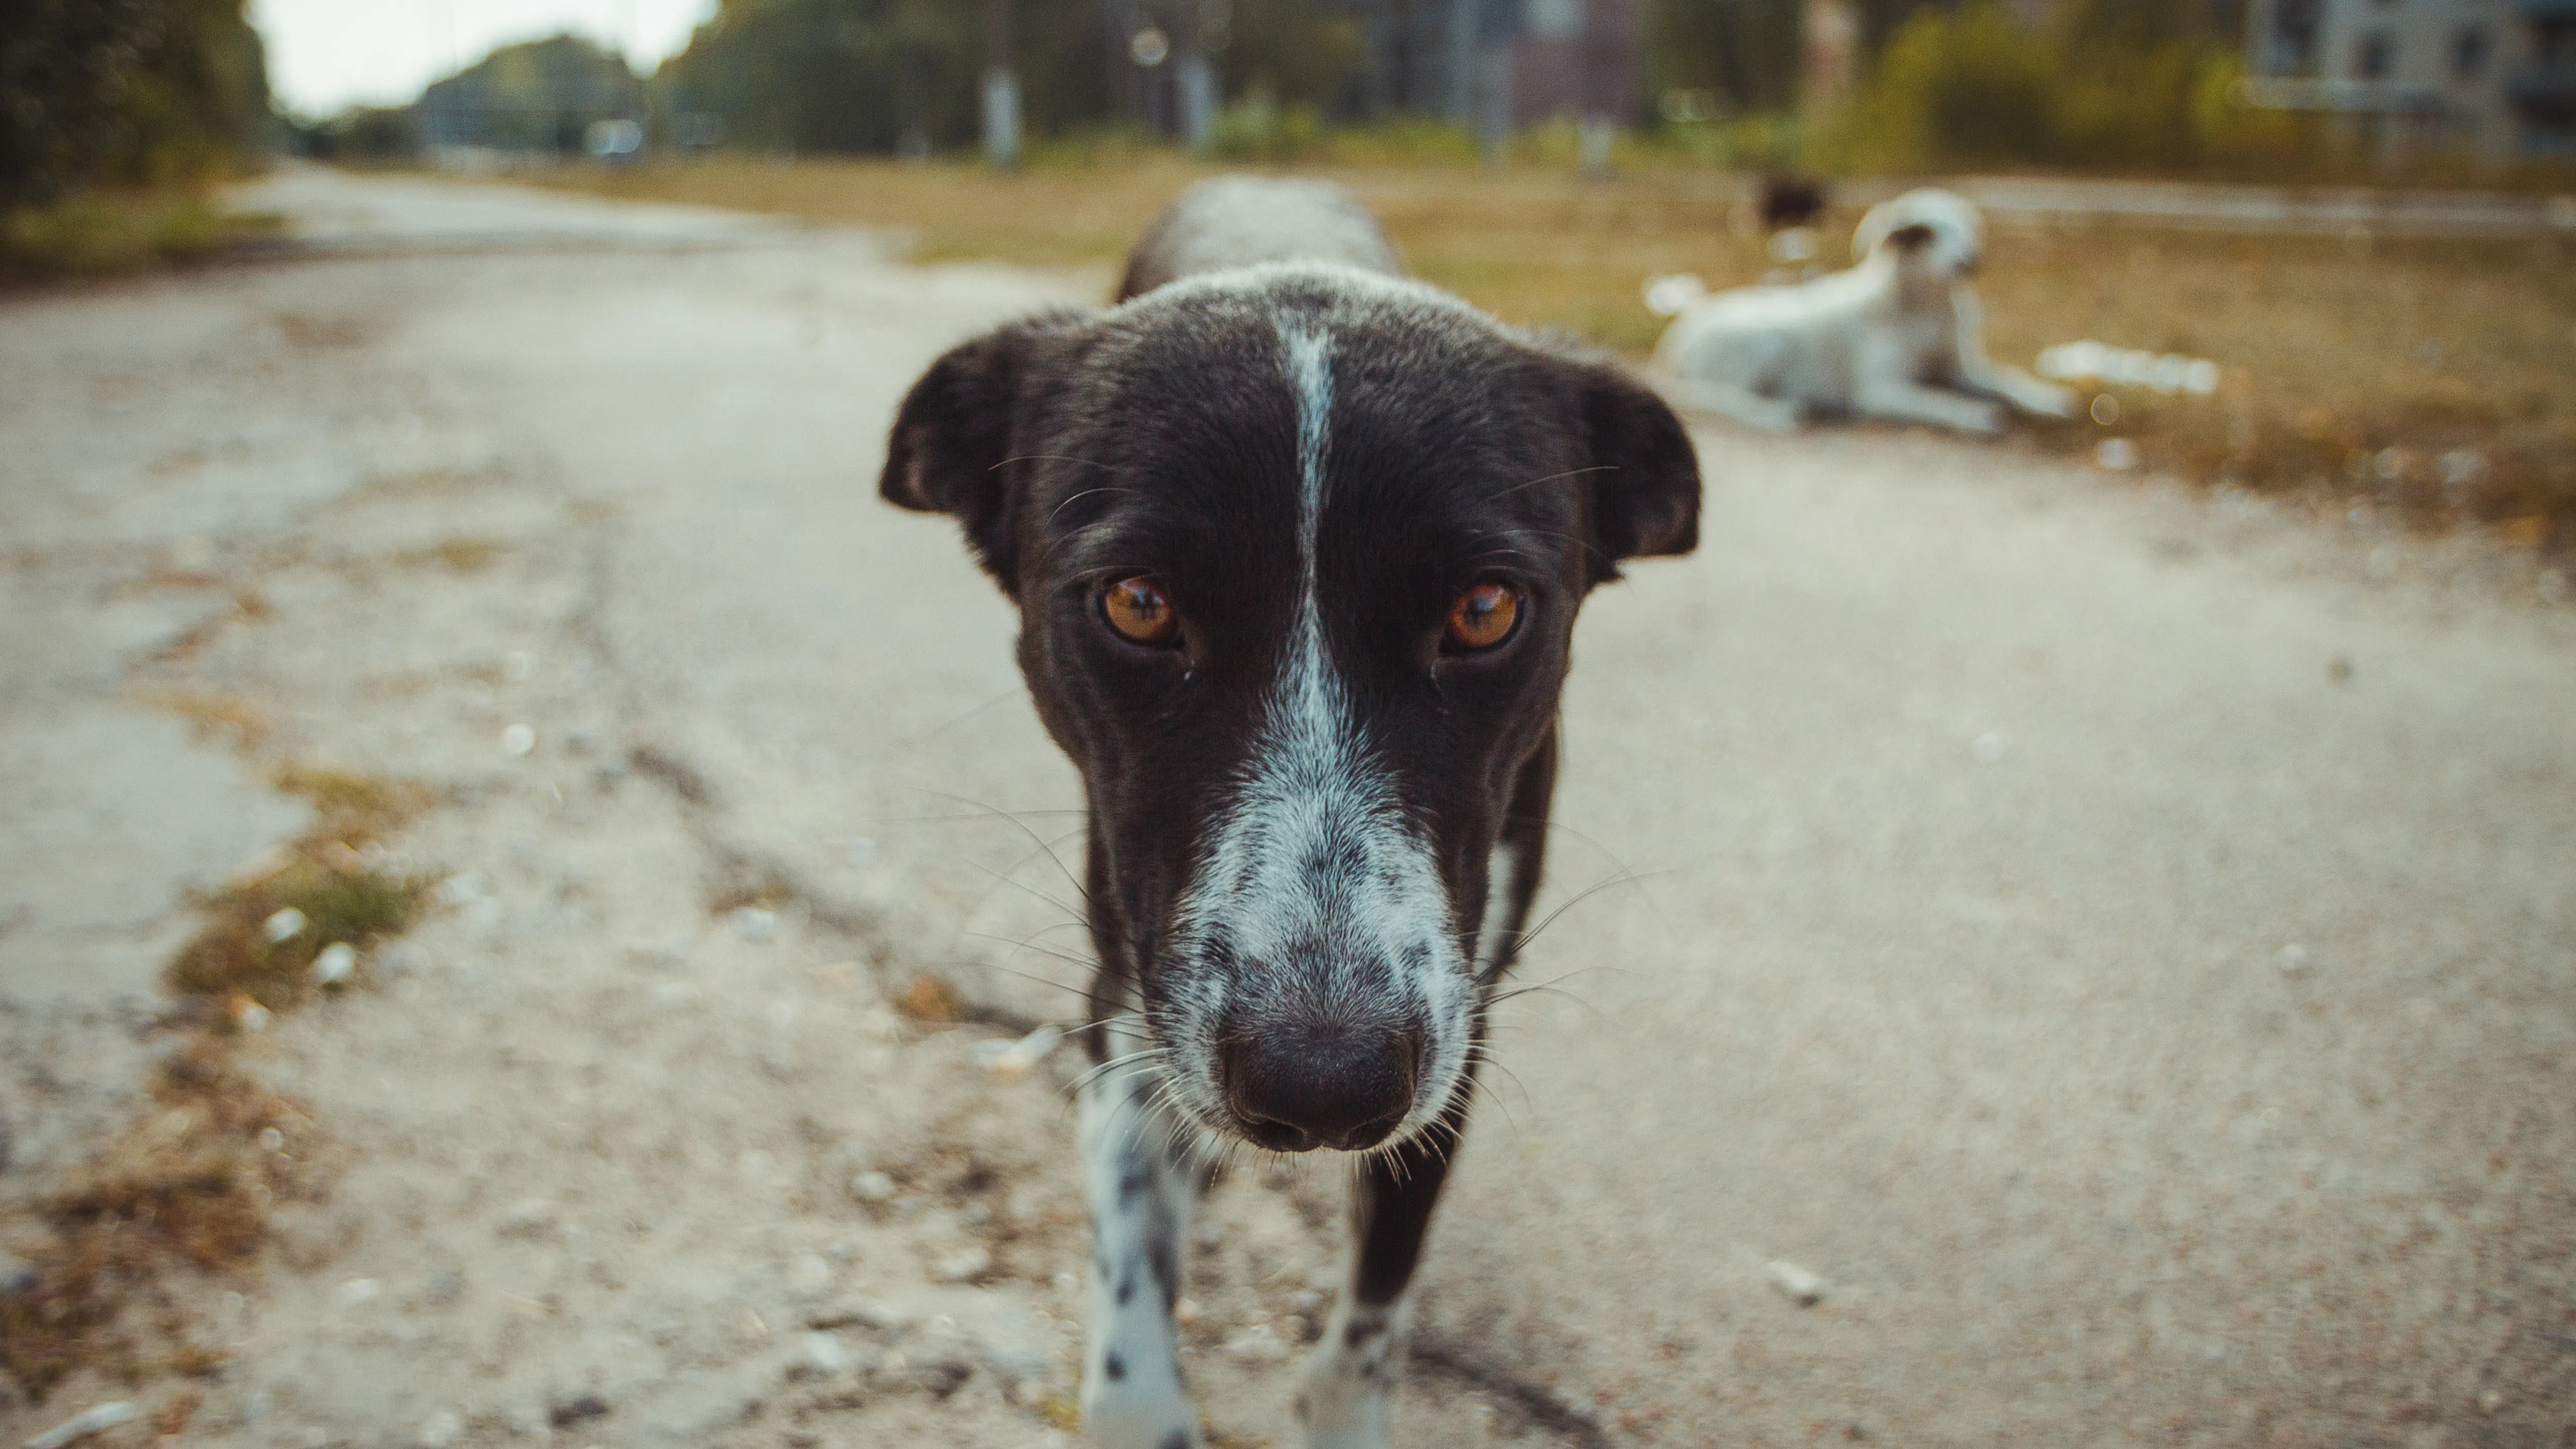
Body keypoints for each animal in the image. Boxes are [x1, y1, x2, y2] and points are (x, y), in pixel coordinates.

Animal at [886, 175, 1710, 1434]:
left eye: (1484, 610)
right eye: (1136, 604)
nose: (1320, 1086)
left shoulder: (1460, 1013)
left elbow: (1370, 1316)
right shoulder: (1131, 974)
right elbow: (1131, 1334)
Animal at [1648, 189, 2071, 430]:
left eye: (1966, 227)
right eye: (1925, 233)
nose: (1970, 263)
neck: (1923, 312)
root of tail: (1671, 344)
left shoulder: (1960, 369)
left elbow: (2009, 379)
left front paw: (2049, 400)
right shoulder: (1880, 389)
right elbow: (1935, 400)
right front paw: (1974, 414)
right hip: (1765, 342)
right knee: (1713, 395)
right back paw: (1777, 413)